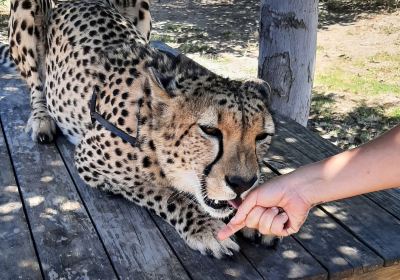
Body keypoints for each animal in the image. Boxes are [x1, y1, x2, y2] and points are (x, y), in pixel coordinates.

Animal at [9, 0, 278, 258]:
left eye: (262, 136)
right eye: (210, 131)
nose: (242, 184)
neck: (148, 122)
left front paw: (262, 208)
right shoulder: (91, 165)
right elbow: (166, 194)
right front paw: (206, 226)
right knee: (36, 84)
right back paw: (42, 119)